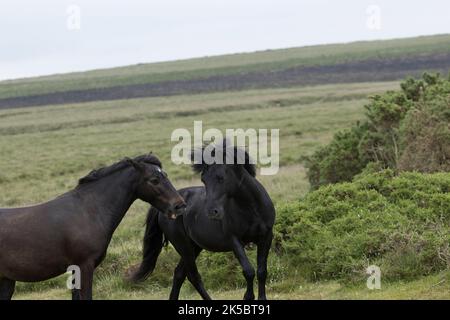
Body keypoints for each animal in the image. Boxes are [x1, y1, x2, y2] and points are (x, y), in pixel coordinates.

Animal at [131, 142, 274, 300]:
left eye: (220, 178)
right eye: (203, 179)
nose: (212, 211)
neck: (251, 208)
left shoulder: (266, 237)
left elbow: (262, 271)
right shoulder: (235, 241)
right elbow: (248, 271)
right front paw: (248, 297)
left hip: (194, 247)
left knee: (179, 274)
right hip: (184, 246)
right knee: (192, 276)